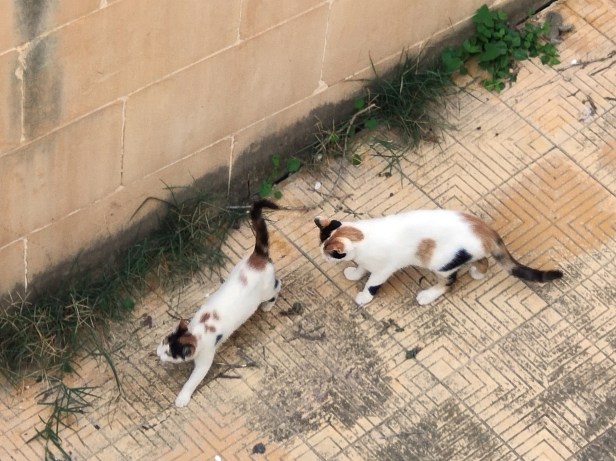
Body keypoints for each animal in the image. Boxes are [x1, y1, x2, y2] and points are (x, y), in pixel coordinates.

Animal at [157, 199, 281, 407]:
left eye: (169, 354)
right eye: (163, 342)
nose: (158, 353)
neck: (196, 331)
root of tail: (257, 257)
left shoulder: (205, 359)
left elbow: (193, 380)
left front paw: (182, 398)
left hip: (267, 290)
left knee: (278, 285)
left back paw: (268, 306)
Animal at [314, 209, 563, 306]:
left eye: (328, 253)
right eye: (320, 244)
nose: (321, 257)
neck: (362, 235)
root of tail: (485, 230)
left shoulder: (384, 269)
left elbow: (372, 282)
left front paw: (364, 296)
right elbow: (361, 268)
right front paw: (354, 272)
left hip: (440, 262)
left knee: (449, 282)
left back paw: (428, 295)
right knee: (483, 260)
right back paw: (477, 272)